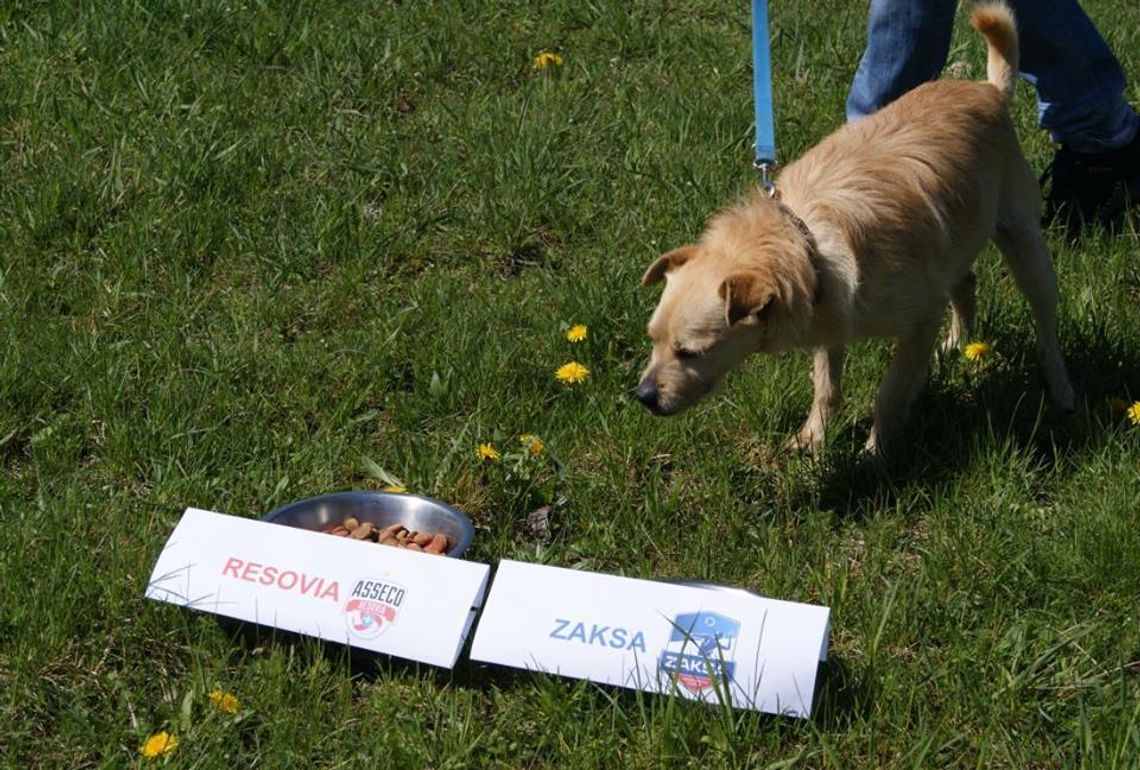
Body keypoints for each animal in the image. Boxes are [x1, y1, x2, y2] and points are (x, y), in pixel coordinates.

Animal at [642, 3, 1076, 454]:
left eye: (690, 353)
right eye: (652, 339)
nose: (643, 397)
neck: (803, 239)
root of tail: (988, 90)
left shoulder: (919, 318)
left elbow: (891, 392)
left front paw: (877, 453)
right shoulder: (832, 315)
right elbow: (826, 385)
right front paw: (813, 439)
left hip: (1024, 245)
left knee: (1045, 325)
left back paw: (1061, 389)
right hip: (955, 241)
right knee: (964, 282)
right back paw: (956, 345)